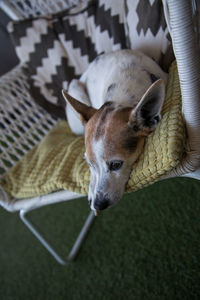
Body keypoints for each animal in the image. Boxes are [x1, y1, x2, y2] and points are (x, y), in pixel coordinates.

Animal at [62, 50, 167, 216]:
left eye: (116, 165)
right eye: (89, 164)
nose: (98, 204)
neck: (122, 97)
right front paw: (92, 188)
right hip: (75, 87)